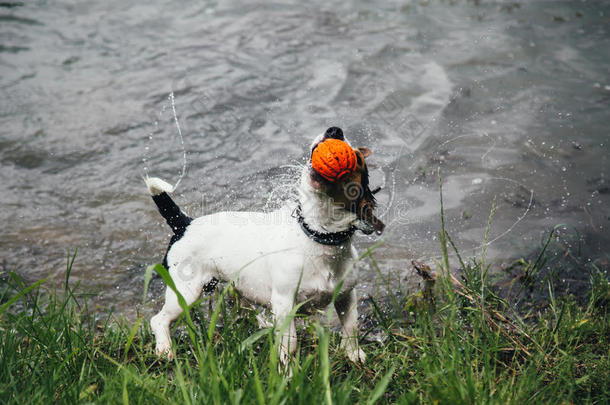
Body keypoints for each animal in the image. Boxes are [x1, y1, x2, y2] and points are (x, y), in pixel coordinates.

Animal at [143, 127, 382, 366]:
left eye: (358, 158)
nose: (334, 130)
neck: (320, 236)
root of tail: (184, 223)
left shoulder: (347, 296)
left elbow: (351, 327)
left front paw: (353, 354)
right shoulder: (284, 303)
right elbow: (290, 343)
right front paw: (287, 369)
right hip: (185, 292)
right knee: (158, 319)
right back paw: (164, 348)